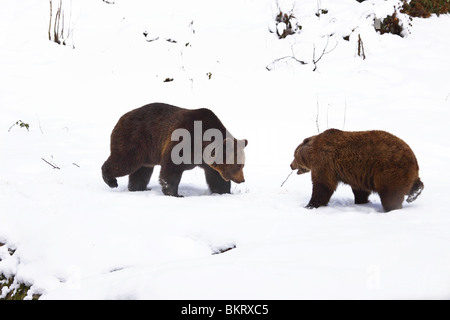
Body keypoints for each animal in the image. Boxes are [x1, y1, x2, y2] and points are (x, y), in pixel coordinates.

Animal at [102, 104, 248, 196]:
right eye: (239, 165)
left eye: (243, 165)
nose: (242, 180)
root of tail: (121, 118)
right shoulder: (185, 142)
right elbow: (171, 169)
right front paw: (175, 193)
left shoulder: (208, 162)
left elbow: (217, 178)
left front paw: (224, 192)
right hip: (135, 140)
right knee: (124, 161)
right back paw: (111, 181)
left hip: (147, 154)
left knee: (141, 171)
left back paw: (139, 188)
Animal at [290, 129, 424, 211]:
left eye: (294, 155)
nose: (291, 165)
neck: (312, 153)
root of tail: (412, 156)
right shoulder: (359, 173)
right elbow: (360, 190)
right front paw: (361, 201)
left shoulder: (325, 162)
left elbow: (322, 185)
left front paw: (310, 205)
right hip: (405, 172)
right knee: (413, 183)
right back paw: (415, 192)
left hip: (389, 170)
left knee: (391, 194)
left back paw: (392, 208)